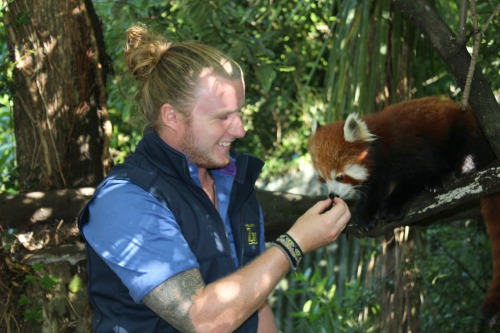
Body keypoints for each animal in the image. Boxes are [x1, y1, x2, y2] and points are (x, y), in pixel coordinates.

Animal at [308, 95, 500, 322]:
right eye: (322, 179)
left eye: (340, 177)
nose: (333, 195)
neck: (379, 148)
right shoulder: (379, 173)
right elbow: (375, 190)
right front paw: (366, 214)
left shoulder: (409, 146)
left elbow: (417, 174)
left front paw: (393, 204)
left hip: (466, 127)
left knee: (467, 148)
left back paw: (450, 174)